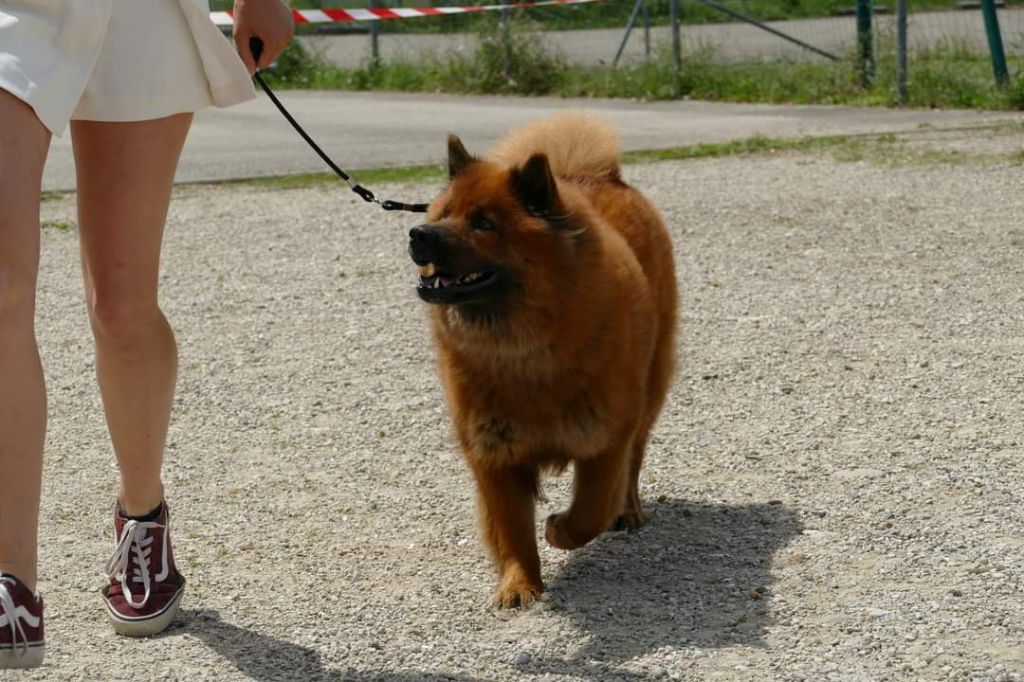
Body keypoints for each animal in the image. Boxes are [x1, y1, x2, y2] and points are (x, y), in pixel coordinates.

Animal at [407, 110, 679, 606]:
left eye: (483, 223)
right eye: (442, 214)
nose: (419, 233)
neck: (524, 355)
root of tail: (594, 175)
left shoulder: (605, 436)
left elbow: (590, 511)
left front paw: (558, 529)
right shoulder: (493, 453)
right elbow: (512, 527)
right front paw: (519, 585)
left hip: (649, 391)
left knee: (634, 462)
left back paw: (629, 511)